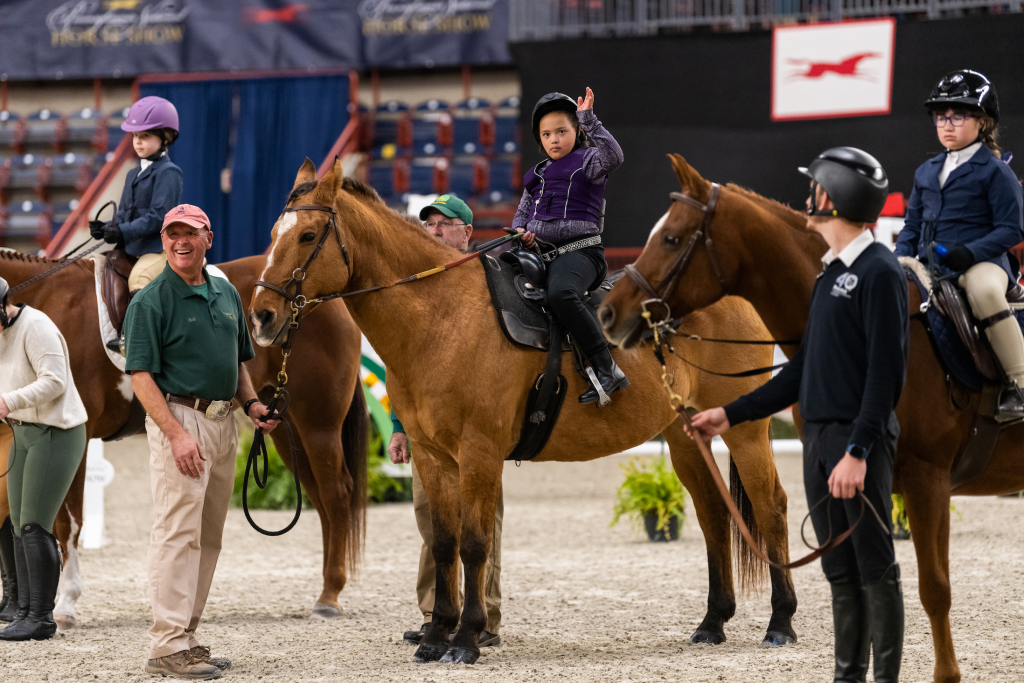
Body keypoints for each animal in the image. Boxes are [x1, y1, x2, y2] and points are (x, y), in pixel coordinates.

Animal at [0, 249, 368, 627]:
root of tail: (322, 301)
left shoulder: (75, 433)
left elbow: (67, 521)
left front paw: (66, 604)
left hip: (319, 426)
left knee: (336, 495)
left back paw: (329, 596)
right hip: (282, 426)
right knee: (320, 500)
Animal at [249, 158, 799, 665]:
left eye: (309, 235)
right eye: (273, 234)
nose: (261, 316)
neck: (442, 316)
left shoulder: (479, 453)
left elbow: (475, 545)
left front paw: (465, 640)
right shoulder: (432, 456)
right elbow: (444, 543)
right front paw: (434, 636)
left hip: (746, 429)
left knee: (770, 506)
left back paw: (780, 622)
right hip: (686, 435)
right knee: (712, 514)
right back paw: (712, 622)